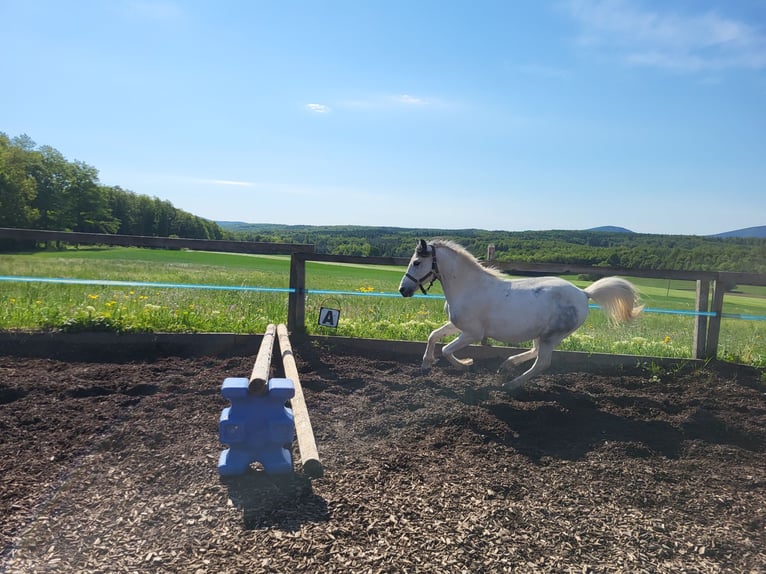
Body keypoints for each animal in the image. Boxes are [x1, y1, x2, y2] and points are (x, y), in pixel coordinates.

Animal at [398, 239, 643, 392]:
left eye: (417, 262)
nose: (403, 290)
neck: (469, 287)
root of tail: (584, 293)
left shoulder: (473, 334)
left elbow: (447, 350)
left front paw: (465, 364)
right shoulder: (457, 326)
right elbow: (433, 336)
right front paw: (426, 364)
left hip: (551, 337)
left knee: (542, 363)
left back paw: (511, 384)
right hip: (542, 334)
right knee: (534, 353)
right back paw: (507, 365)